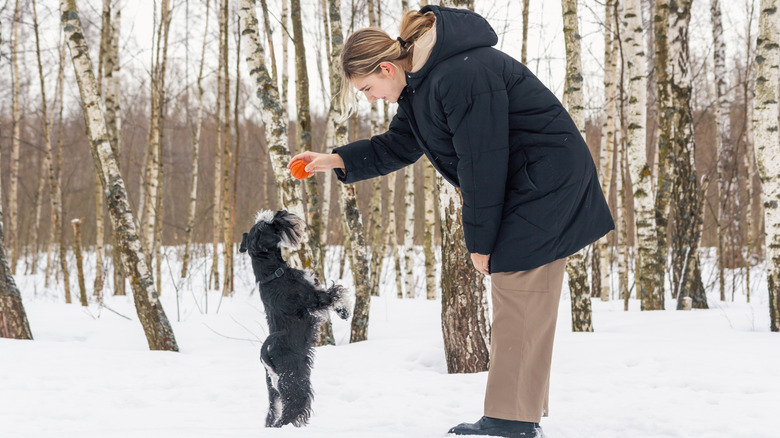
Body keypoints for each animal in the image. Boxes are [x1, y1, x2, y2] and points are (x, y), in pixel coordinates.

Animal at [239, 210, 352, 428]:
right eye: (268, 224)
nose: (281, 212)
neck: (272, 273)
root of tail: (266, 359)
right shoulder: (315, 298)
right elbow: (336, 292)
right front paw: (345, 310)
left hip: (274, 392)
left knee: (271, 415)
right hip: (295, 384)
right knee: (290, 413)